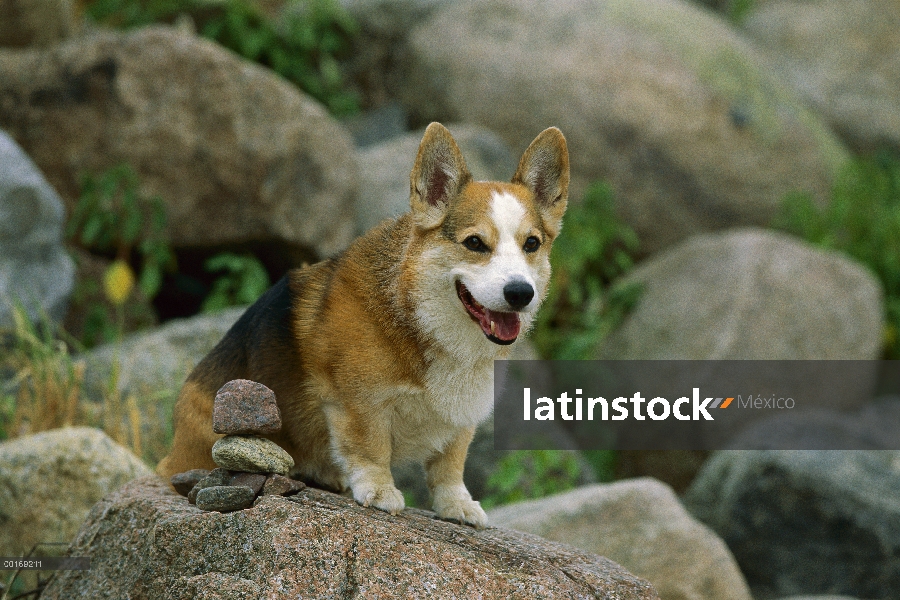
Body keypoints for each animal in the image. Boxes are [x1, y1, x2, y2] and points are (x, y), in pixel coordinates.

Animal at [153, 122, 564, 524]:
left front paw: (457, 506)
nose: (520, 293)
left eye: (531, 244)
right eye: (475, 243)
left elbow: (449, 465)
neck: (419, 313)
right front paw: (379, 492)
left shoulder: (460, 420)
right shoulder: (359, 402)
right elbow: (370, 449)